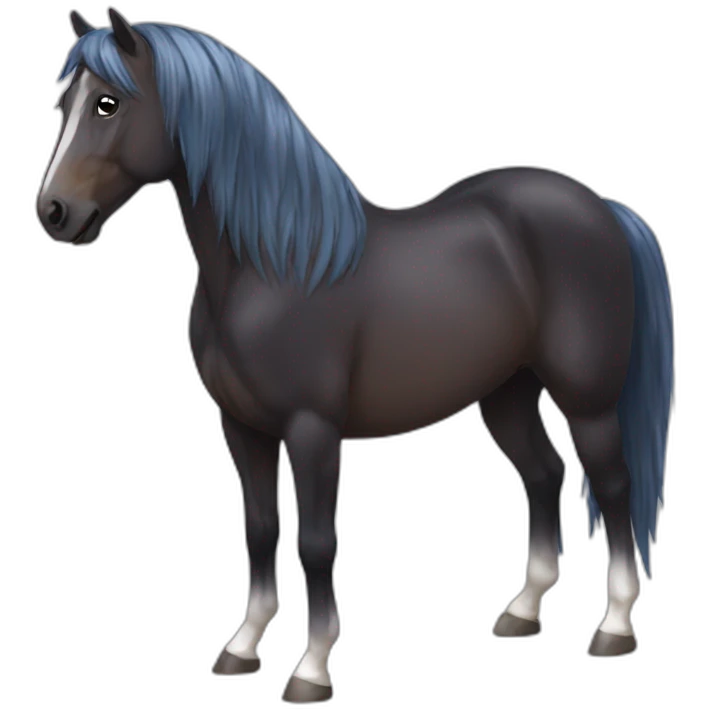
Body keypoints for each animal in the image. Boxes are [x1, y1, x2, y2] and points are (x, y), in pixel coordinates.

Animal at [36, 8, 674, 701]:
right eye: (65, 103)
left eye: (107, 102)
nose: (54, 212)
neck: (275, 267)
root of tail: (602, 210)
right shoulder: (242, 427)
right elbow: (260, 529)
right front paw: (241, 648)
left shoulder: (312, 429)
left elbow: (316, 542)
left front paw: (311, 669)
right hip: (507, 394)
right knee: (543, 473)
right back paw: (522, 613)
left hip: (587, 401)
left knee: (613, 485)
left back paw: (613, 628)